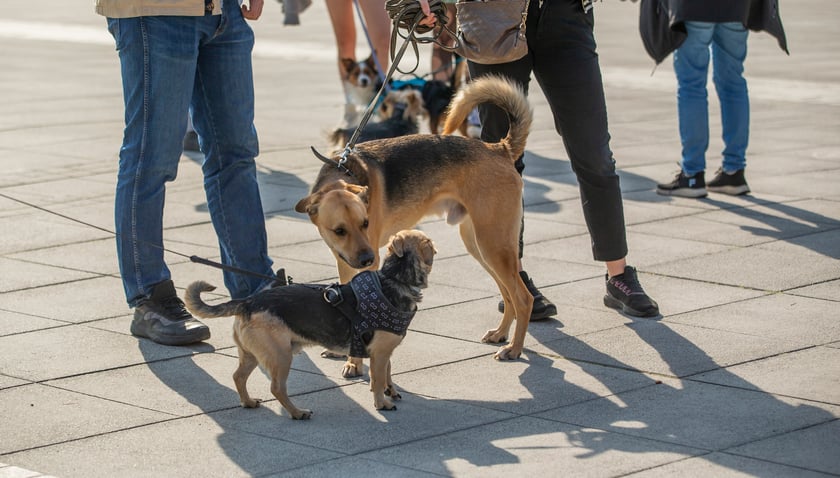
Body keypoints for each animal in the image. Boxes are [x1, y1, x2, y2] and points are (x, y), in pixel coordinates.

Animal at [182, 230, 434, 420]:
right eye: (430, 245)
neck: (393, 279)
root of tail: (247, 302)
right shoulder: (379, 353)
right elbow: (377, 379)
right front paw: (382, 403)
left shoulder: (383, 352)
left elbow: (387, 373)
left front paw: (391, 391)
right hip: (281, 356)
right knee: (276, 388)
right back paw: (297, 413)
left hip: (251, 354)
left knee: (238, 377)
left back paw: (248, 402)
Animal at [296, 76, 532, 372]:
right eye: (339, 231)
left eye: (365, 223)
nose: (368, 259)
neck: (341, 175)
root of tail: (499, 148)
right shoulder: (345, 262)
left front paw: (355, 362)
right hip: (481, 245)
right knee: (508, 293)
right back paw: (501, 334)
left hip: (494, 245)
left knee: (523, 298)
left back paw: (515, 348)